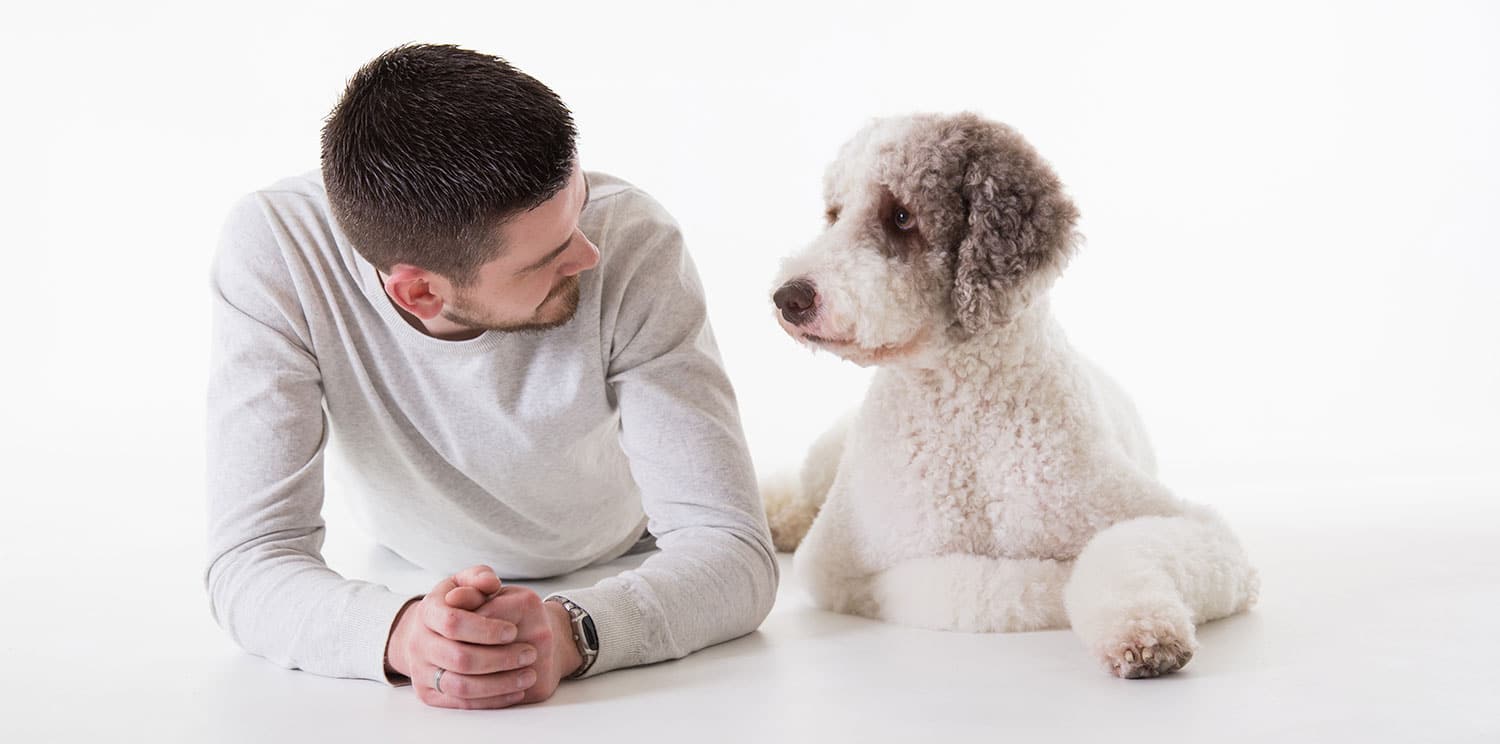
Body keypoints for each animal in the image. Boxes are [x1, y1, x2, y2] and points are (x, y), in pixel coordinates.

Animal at [768, 111, 1260, 681]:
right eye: (834, 213)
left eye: (901, 216)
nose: (787, 297)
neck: (966, 410)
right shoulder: (840, 568)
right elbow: (988, 588)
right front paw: (1052, 586)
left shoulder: (1203, 533)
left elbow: (1121, 548)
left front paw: (1142, 633)